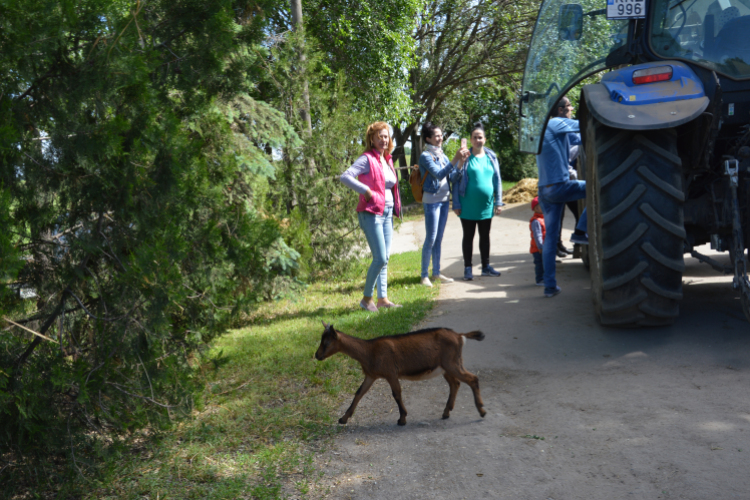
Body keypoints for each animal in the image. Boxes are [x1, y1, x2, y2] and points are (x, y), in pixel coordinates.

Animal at [312, 322, 484, 424]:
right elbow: (359, 393)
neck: (368, 351)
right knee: (455, 383)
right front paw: (343, 418)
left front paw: (402, 418)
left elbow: (396, 393)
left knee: (473, 379)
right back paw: (446, 412)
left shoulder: (390, 373)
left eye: (326, 343)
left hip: (452, 363)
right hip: (446, 366)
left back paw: (481, 411)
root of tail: (460, 336)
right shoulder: (371, 375)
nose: (317, 355)